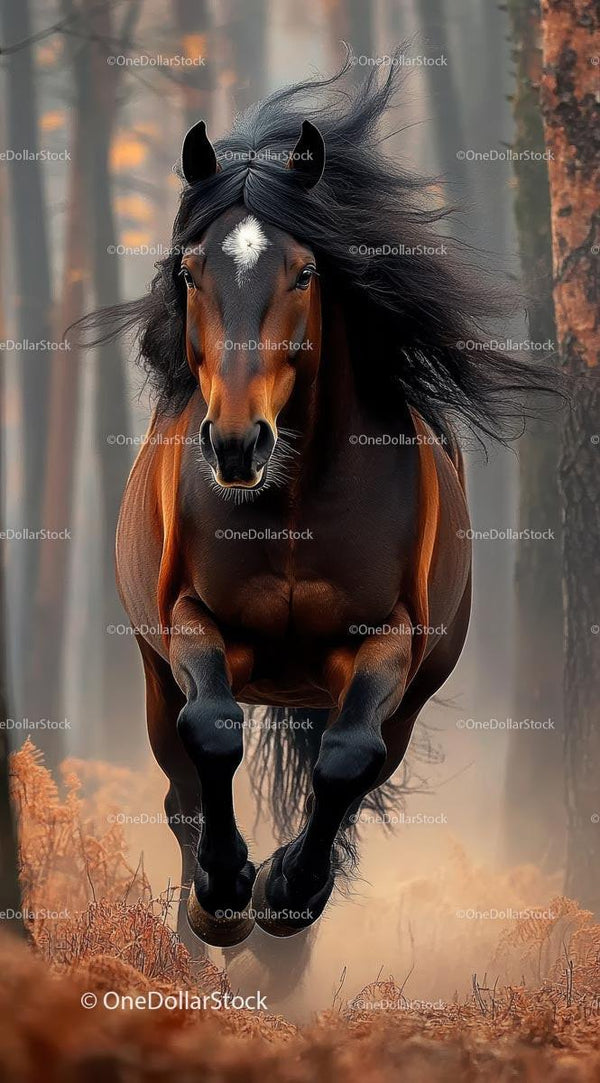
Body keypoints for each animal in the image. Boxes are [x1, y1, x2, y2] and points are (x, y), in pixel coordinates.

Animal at [83, 57, 556, 953]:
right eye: (189, 271)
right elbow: (214, 732)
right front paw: (224, 893)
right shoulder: (191, 621)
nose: (238, 445)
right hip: (155, 676)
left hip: (411, 692)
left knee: (358, 766)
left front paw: (286, 889)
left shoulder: (389, 642)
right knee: (181, 787)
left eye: (304, 273)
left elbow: (344, 759)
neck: (297, 503)